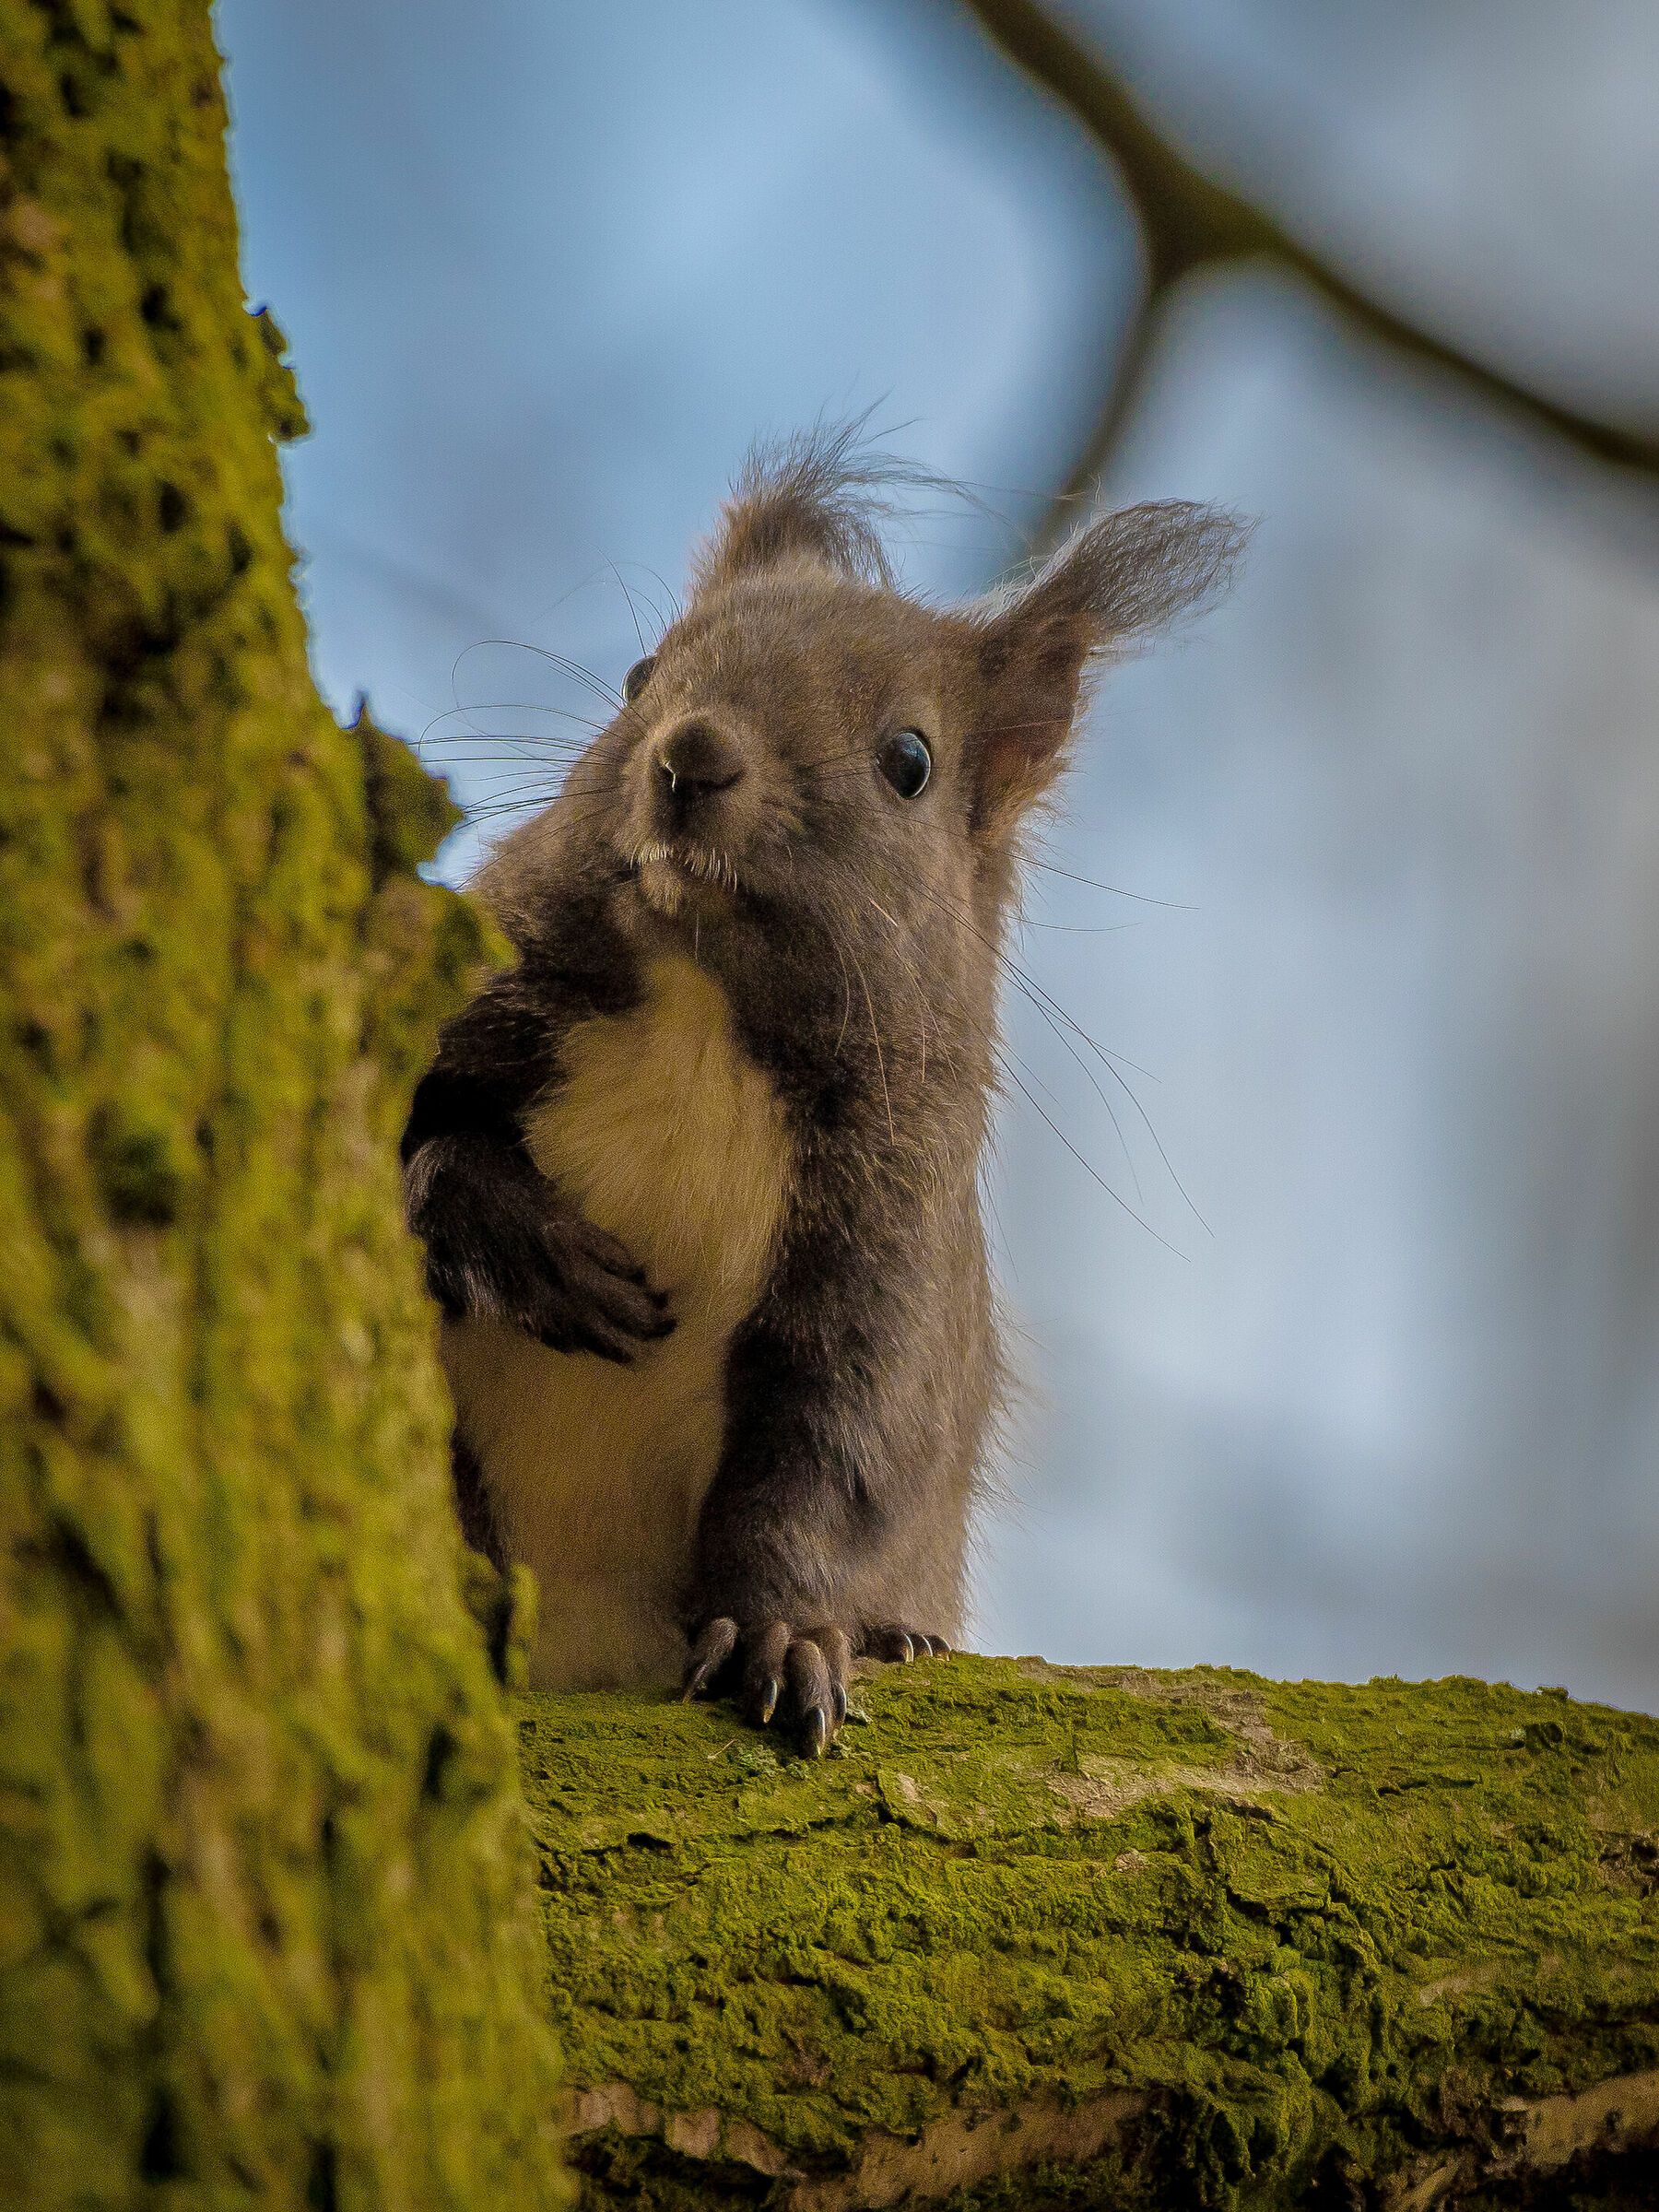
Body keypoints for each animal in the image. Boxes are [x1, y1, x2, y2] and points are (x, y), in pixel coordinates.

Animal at [402, 430, 1244, 1753]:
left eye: (911, 763)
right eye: (639, 675)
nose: (690, 756)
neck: (701, 1013)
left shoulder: (884, 1253)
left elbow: (833, 1460)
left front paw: (784, 1634)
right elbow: (384, 1143)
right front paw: (518, 1238)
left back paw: (896, 1634)